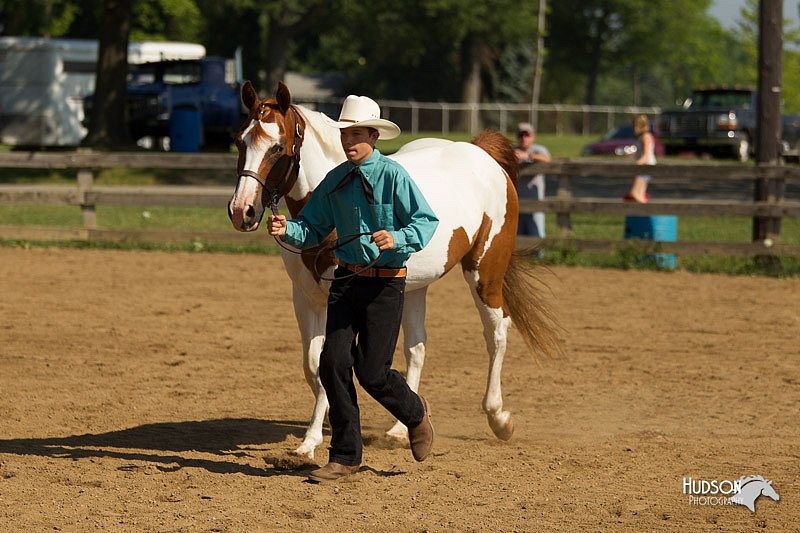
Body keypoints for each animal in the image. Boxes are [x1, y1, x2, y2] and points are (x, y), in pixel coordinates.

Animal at [228, 81, 560, 460]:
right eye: (240, 141)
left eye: (278, 147)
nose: (242, 211)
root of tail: (481, 153)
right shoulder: (305, 297)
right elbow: (314, 366)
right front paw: (312, 439)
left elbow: (328, 364)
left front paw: (312, 441)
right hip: (415, 287)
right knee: (417, 348)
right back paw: (402, 429)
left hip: (485, 273)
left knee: (497, 333)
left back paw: (499, 418)